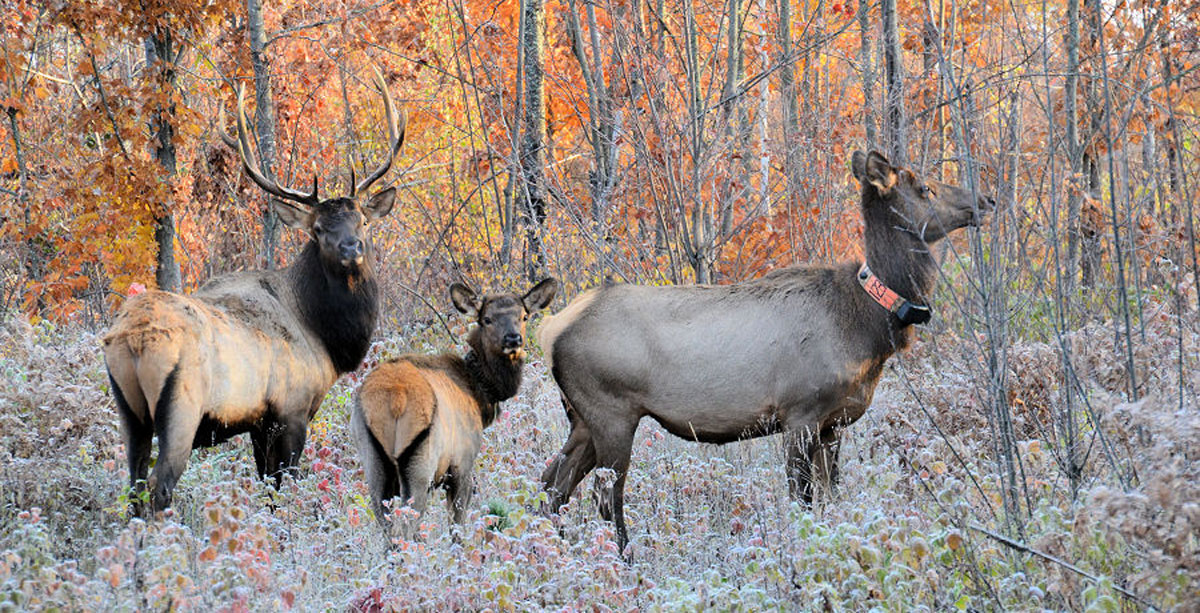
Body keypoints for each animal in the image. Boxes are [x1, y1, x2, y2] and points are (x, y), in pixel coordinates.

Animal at [102, 71, 406, 515]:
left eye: (363, 221)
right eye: (317, 229)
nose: (351, 248)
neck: (324, 339)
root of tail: (132, 338)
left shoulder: (258, 424)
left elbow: (266, 488)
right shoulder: (291, 410)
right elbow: (282, 488)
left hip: (130, 412)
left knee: (132, 487)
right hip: (181, 406)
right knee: (158, 486)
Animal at [350, 278, 557, 538]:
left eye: (524, 316)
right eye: (486, 319)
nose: (512, 339)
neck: (480, 394)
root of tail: (395, 398)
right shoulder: (462, 465)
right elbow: (457, 526)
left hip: (374, 461)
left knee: (386, 526)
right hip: (420, 465)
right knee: (407, 525)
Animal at [537, 150, 996, 555]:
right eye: (925, 188)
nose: (987, 200)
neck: (866, 324)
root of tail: (550, 330)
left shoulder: (834, 423)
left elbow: (831, 497)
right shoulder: (800, 413)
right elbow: (802, 500)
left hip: (583, 419)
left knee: (550, 487)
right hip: (611, 411)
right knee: (603, 495)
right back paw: (627, 561)